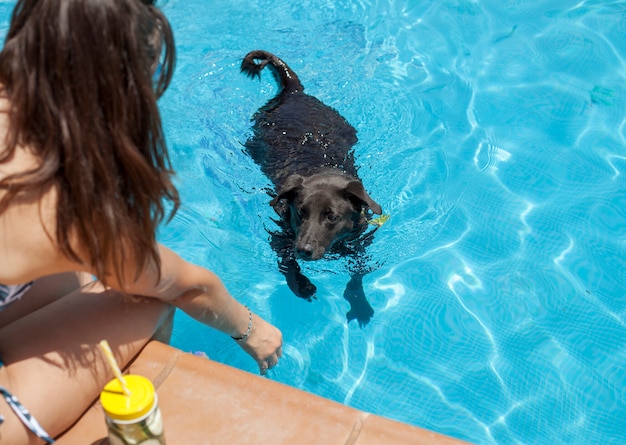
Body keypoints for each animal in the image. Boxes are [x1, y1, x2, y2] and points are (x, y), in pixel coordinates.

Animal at [240, 50, 380, 324]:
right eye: (300, 213)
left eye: (332, 217)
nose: (303, 250)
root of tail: (294, 91)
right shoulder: (280, 238)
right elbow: (287, 264)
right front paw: (302, 285)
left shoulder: (360, 245)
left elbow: (357, 276)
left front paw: (359, 303)